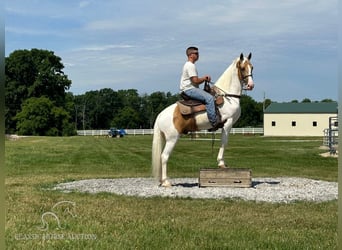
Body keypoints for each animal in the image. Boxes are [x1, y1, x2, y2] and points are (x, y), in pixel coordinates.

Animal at [152, 52, 254, 187]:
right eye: (242, 68)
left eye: (252, 67)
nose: (251, 85)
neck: (228, 97)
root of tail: (160, 115)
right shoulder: (228, 123)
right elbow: (224, 142)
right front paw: (221, 163)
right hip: (172, 138)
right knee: (164, 156)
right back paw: (166, 182)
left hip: (165, 137)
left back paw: (161, 180)